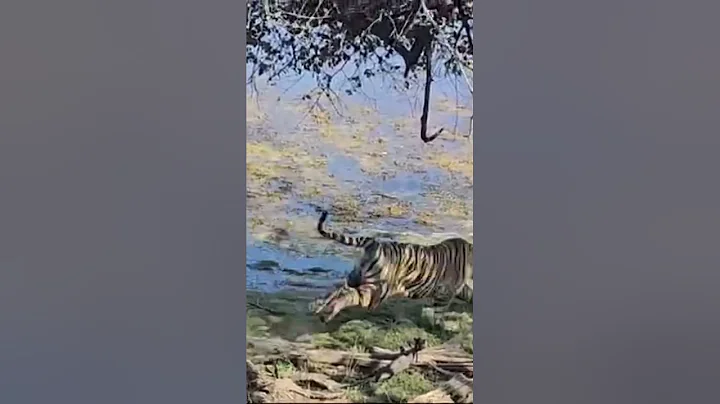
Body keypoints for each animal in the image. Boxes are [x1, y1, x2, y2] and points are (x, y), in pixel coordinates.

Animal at [310, 210, 473, 323]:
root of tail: (373, 242)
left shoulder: (460, 288)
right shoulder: (445, 293)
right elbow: (438, 314)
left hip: (355, 276)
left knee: (338, 289)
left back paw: (317, 307)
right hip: (378, 289)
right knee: (349, 295)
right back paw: (328, 313)